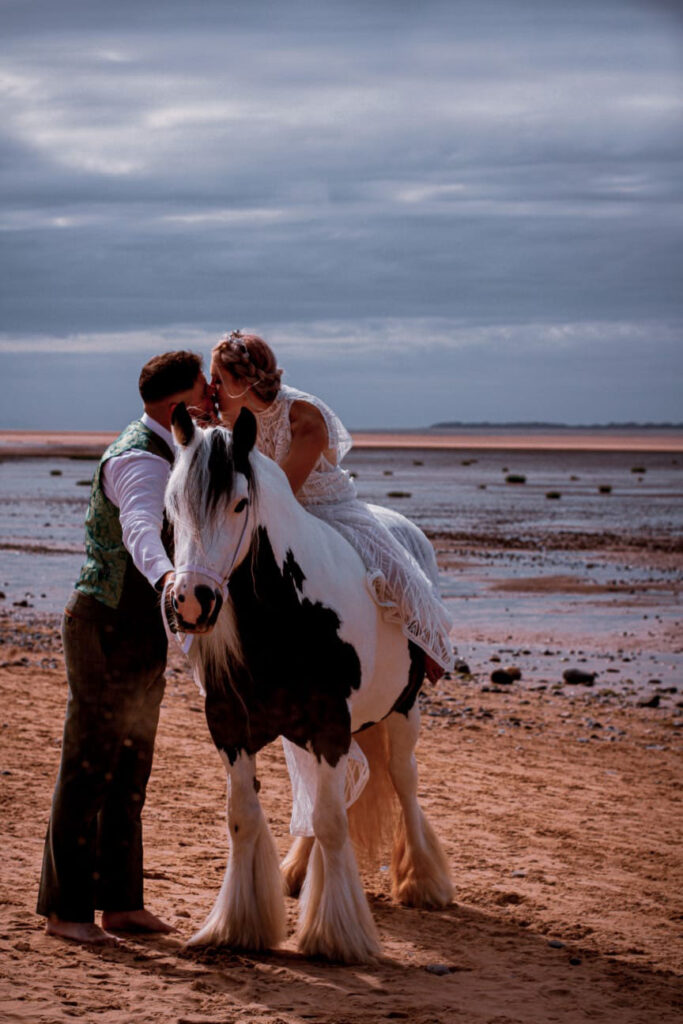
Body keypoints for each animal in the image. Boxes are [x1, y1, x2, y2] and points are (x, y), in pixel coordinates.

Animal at [164, 403, 454, 962]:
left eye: (239, 504)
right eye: (172, 504)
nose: (191, 602)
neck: (287, 615)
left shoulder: (331, 726)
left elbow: (333, 821)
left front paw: (335, 936)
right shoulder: (230, 727)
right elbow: (244, 816)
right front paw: (238, 925)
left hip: (403, 712)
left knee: (403, 782)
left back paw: (423, 882)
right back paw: (297, 872)